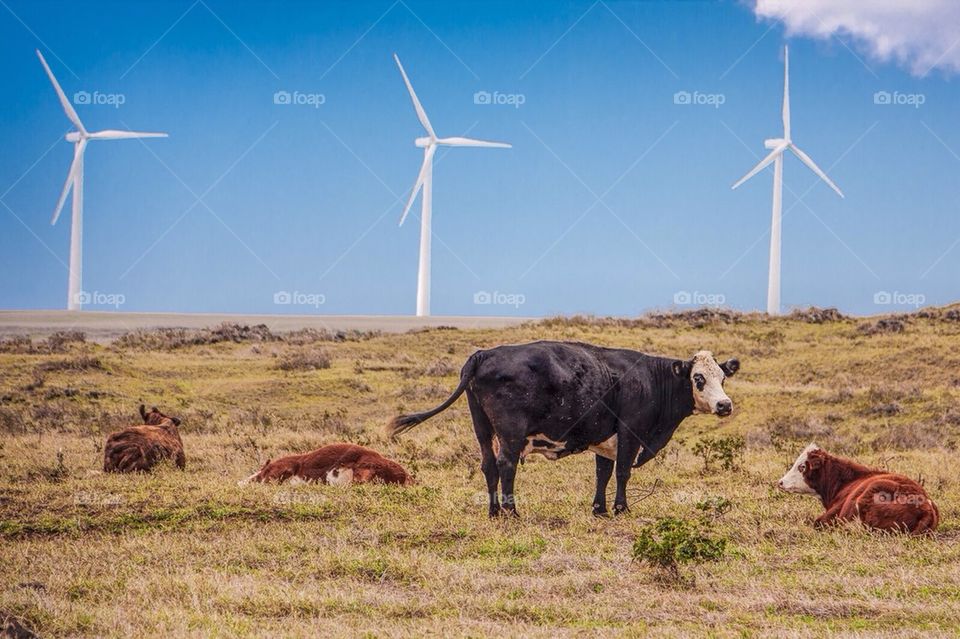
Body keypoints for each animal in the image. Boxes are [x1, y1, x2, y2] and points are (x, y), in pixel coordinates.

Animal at [386, 342, 740, 516]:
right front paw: (621, 509)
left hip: (482, 430)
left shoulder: (606, 439)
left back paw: (494, 511)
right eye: (698, 378)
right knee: (505, 465)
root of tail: (483, 354)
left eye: (722, 378)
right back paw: (511, 511)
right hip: (510, 433)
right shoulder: (630, 433)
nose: (725, 405)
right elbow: (622, 472)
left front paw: (599, 509)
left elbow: (603, 473)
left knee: (488, 465)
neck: (651, 379)